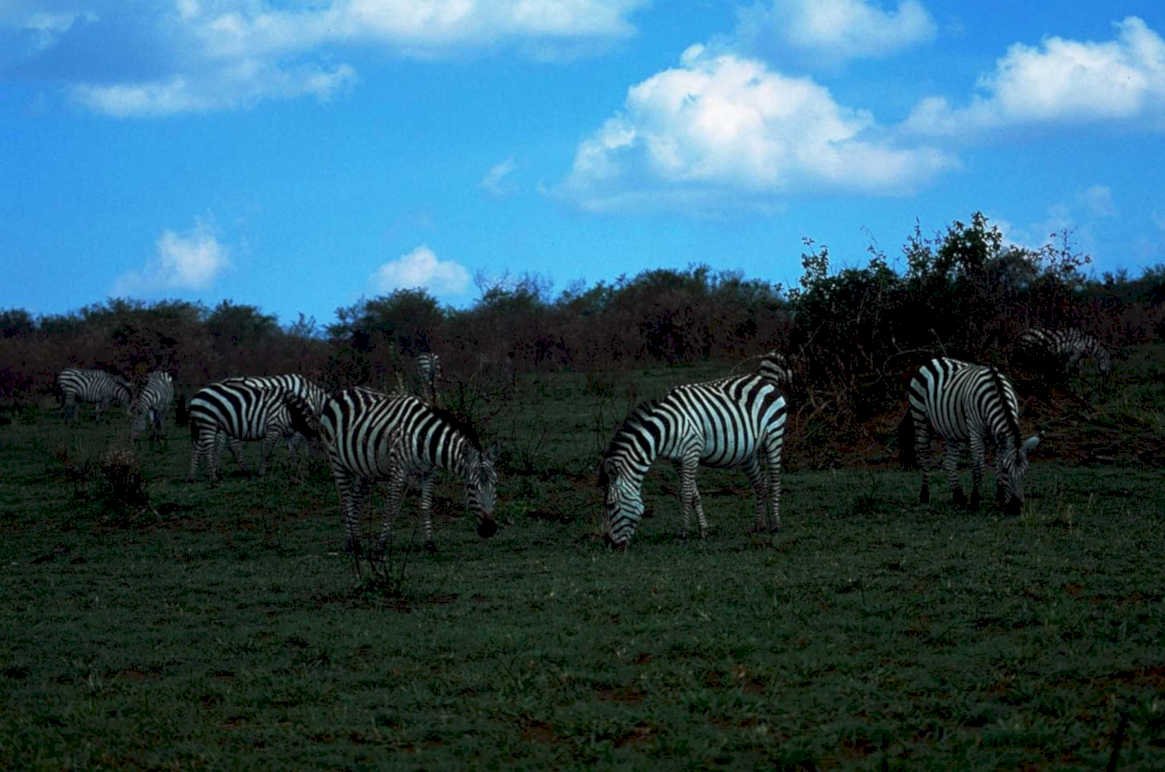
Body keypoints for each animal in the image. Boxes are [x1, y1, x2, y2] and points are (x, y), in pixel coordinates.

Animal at [186, 374, 327, 482]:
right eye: (320, 448)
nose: (317, 470)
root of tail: (195, 397)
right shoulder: (274, 427)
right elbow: (268, 450)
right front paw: (262, 473)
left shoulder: (289, 432)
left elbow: (293, 450)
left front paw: (296, 470)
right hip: (209, 423)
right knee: (213, 447)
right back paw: (215, 476)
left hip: (205, 426)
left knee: (198, 447)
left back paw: (193, 476)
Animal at [284, 387, 498, 556]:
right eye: (471, 487)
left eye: (495, 487)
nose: (489, 530)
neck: (423, 439)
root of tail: (339, 393)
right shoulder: (399, 470)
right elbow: (392, 506)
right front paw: (381, 545)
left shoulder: (428, 473)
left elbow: (426, 505)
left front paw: (429, 544)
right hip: (336, 460)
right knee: (346, 500)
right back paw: (352, 544)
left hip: (362, 468)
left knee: (356, 500)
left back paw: (355, 540)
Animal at [599, 368, 787, 549]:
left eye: (611, 505)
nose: (609, 544)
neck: (667, 428)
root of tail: (762, 379)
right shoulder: (677, 460)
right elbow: (694, 494)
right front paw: (703, 530)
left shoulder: (691, 453)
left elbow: (686, 493)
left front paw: (684, 532)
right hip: (749, 451)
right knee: (760, 484)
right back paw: (759, 525)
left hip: (774, 435)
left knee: (775, 481)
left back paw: (776, 525)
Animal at [901, 357, 1039, 515]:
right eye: (1007, 470)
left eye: (1025, 471)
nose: (1015, 508)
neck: (997, 393)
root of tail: (935, 359)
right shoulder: (975, 432)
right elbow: (979, 467)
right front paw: (975, 501)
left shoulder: (998, 436)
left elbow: (997, 463)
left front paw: (1000, 499)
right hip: (920, 419)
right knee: (924, 457)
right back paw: (924, 496)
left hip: (950, 430)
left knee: (949, 462)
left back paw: (958, 497)